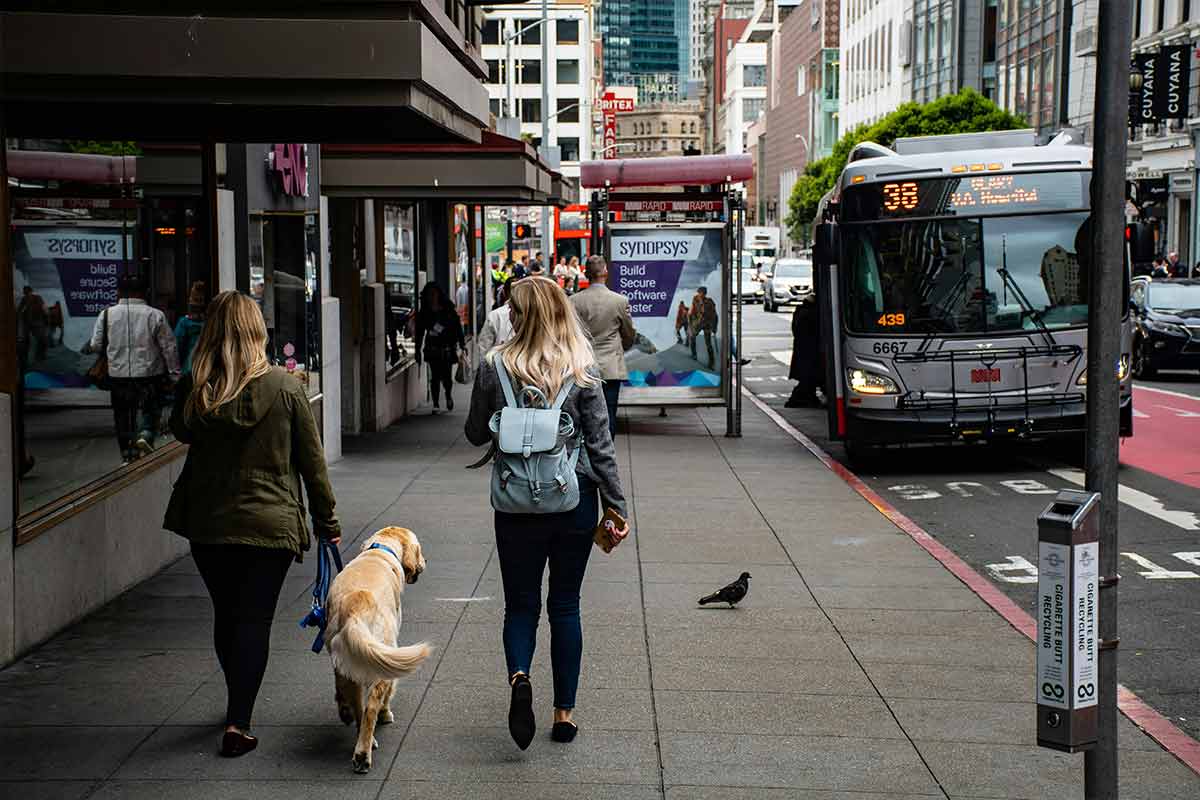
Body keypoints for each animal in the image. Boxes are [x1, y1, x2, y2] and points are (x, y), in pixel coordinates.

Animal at [326, 527, 429, 772]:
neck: (380, 550)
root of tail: (355, 609)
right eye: (420, 550)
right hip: (383, 657)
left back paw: (352, 721)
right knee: (370, 708)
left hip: (347, 661)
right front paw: (386, 714)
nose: (426, 561)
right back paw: (363, 754)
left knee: (355, 703)